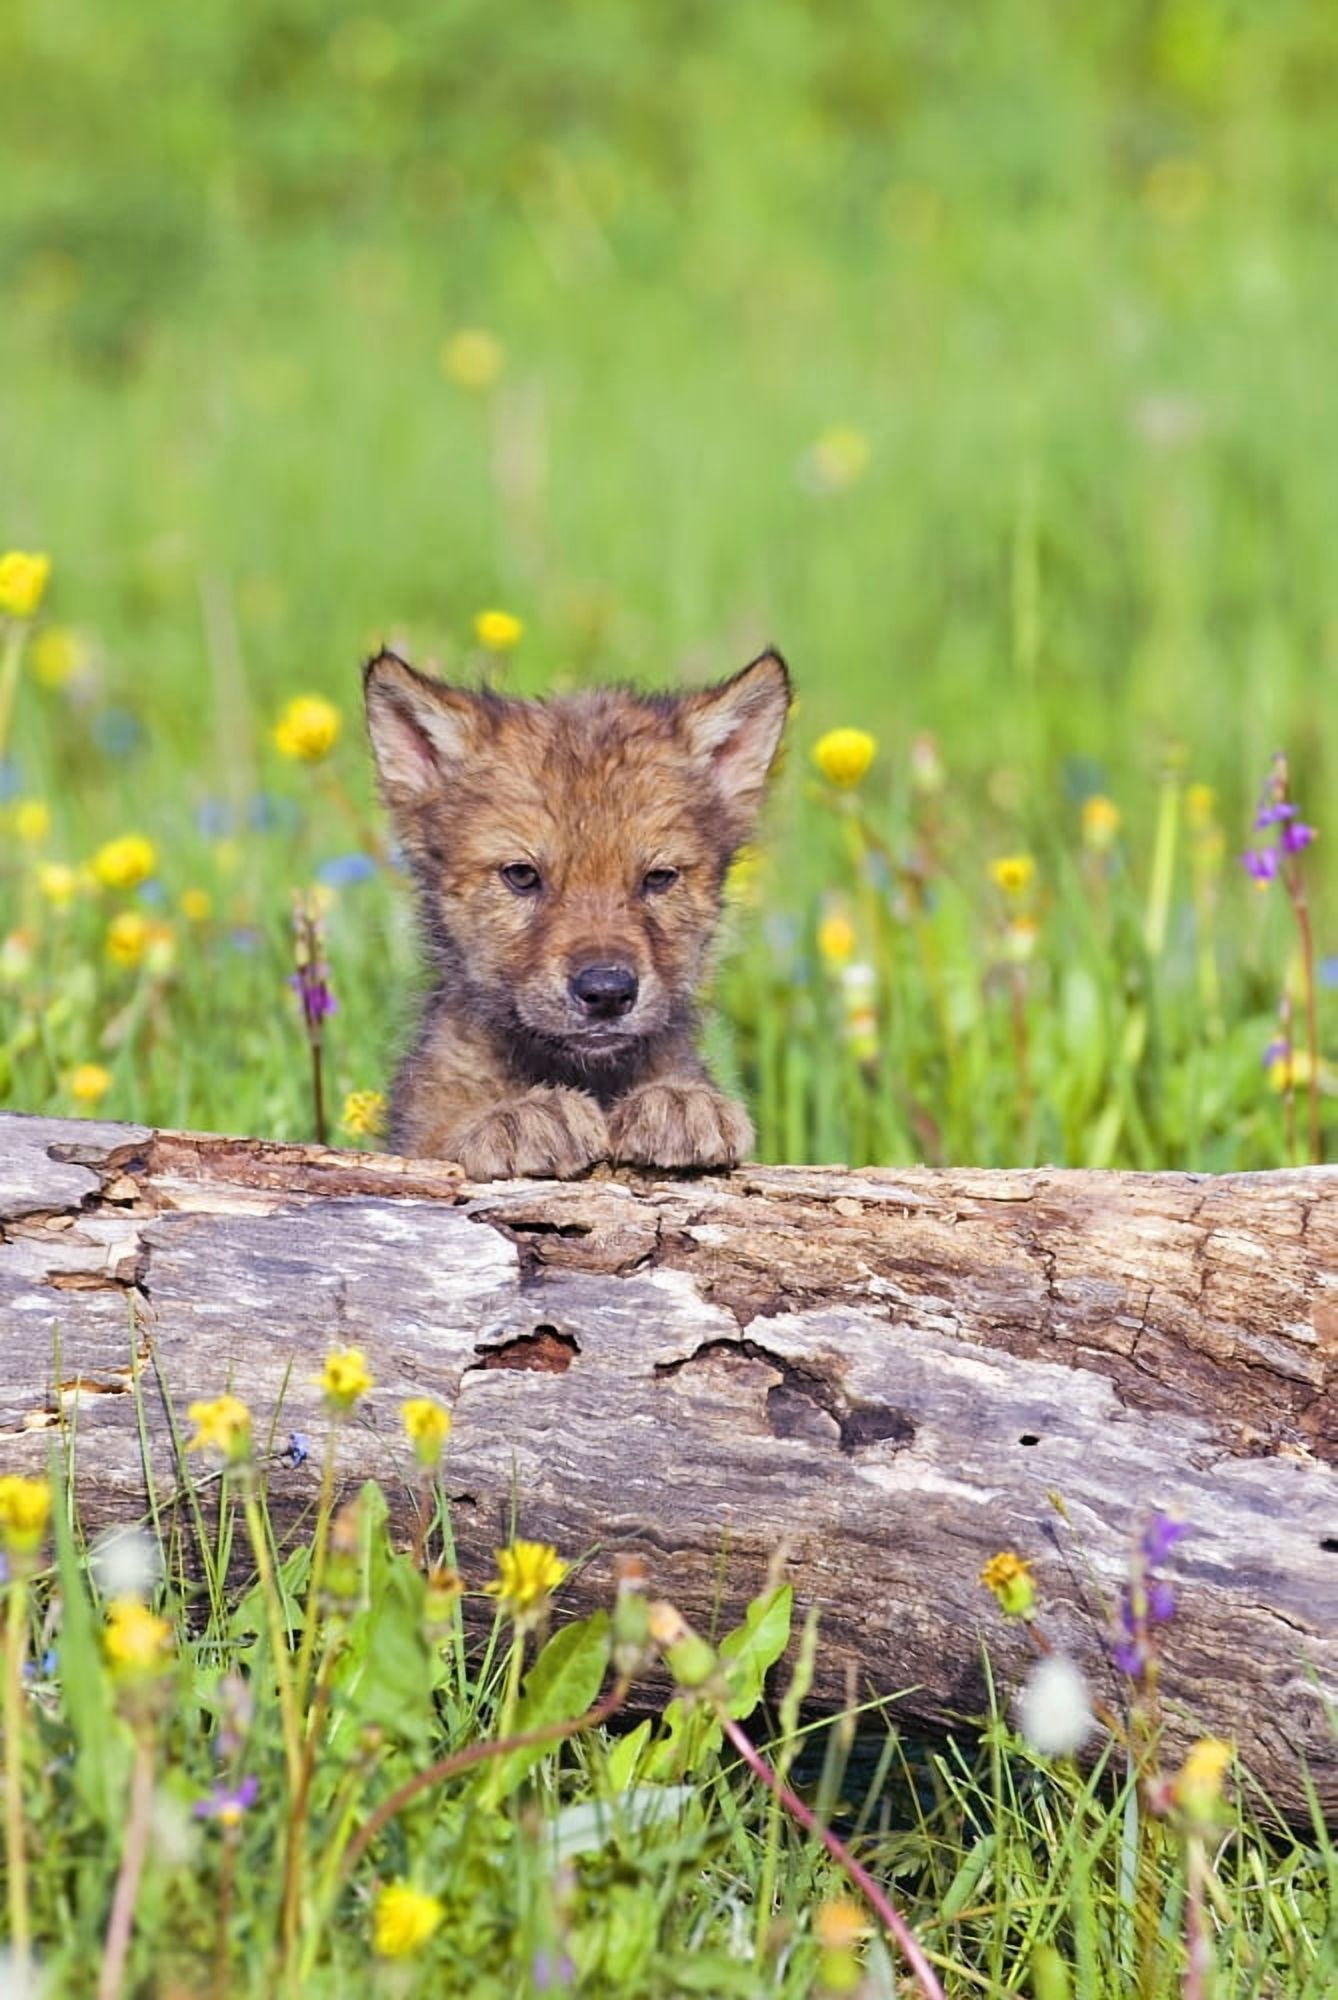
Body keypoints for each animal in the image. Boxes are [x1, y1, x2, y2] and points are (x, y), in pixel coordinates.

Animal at [363, 646, 790, 1178]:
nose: (607, 993)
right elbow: (443, 1137)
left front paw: (679, 1103)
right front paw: (521, 1117)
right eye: (522, 875)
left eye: (658, 878)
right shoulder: (415, 1136)